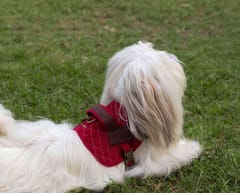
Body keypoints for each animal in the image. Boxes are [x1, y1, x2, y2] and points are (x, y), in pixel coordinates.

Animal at [0, 41, 201, 192]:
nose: (173, 57)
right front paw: (193, 147)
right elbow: (177, 157)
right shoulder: (150, 161)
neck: (122, 119)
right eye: (164, 60)